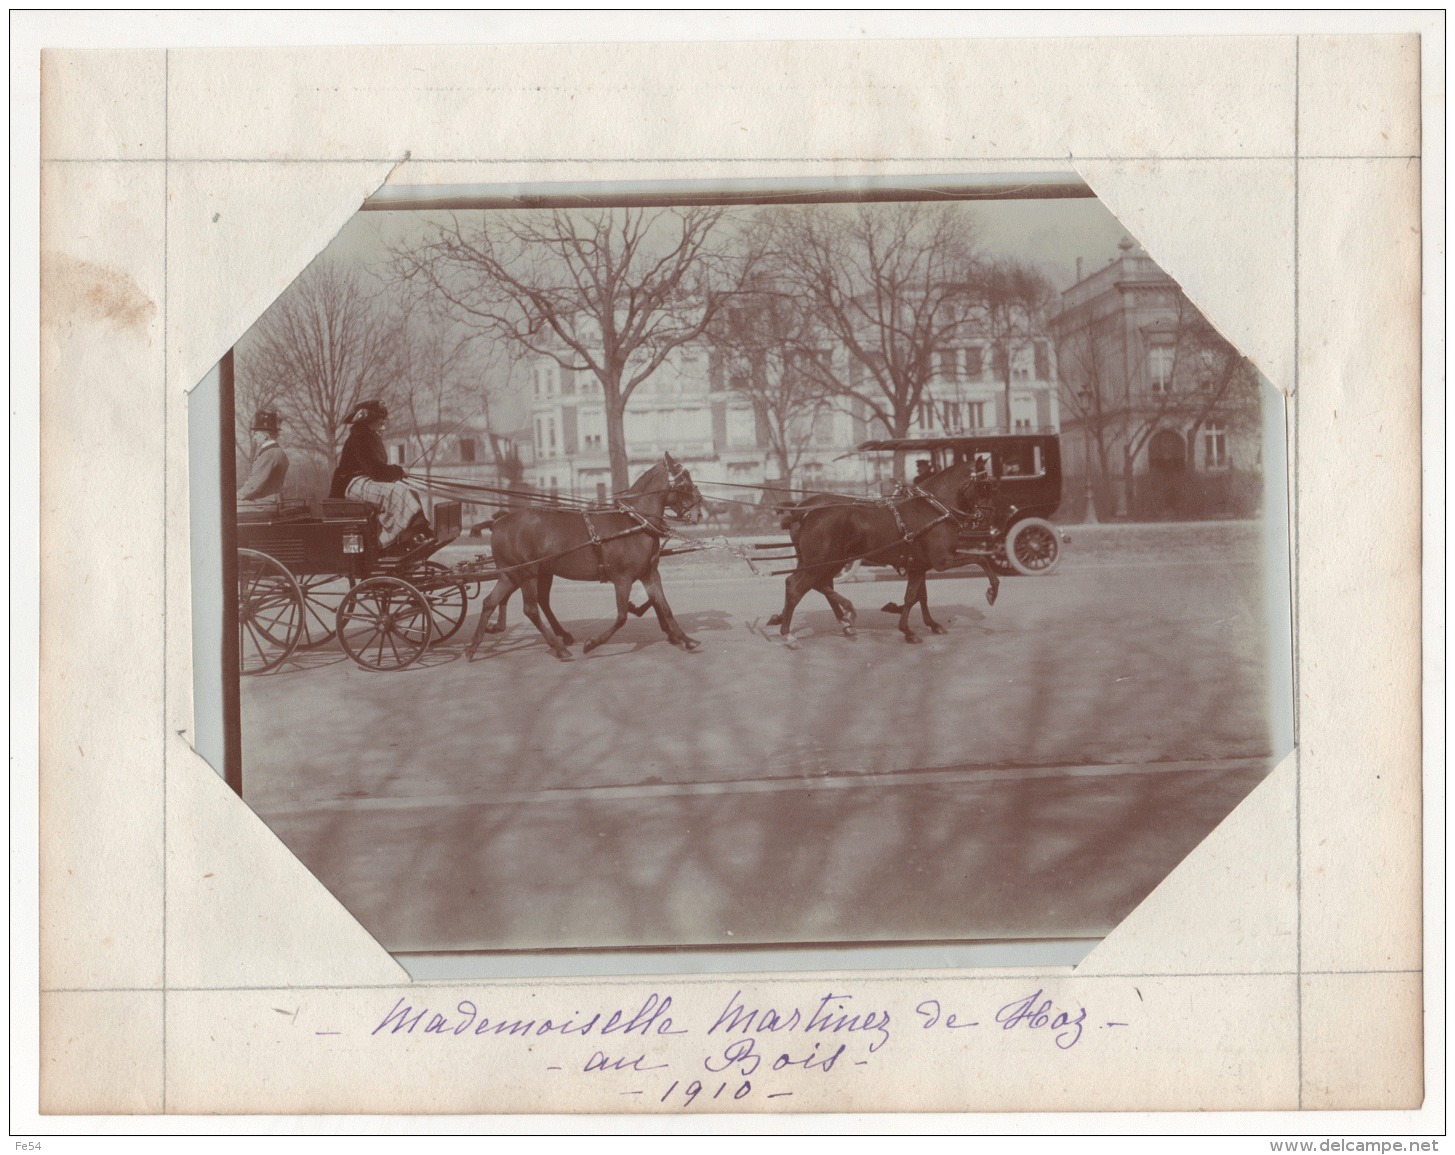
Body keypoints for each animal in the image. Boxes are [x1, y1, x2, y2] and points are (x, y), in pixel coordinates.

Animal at [459, 453, 698, 660]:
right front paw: (592, 643)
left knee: (491, 602)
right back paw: (558, 647)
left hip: (513, 573)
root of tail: (499, 522)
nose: (697, 512)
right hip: (527, 573)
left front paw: (684, 638)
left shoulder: (649, 573)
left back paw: (474, 645)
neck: (634, 522)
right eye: (684, 483)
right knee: (531, 609)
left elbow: (664, 607)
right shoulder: (623, 578)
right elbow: (621, 617)